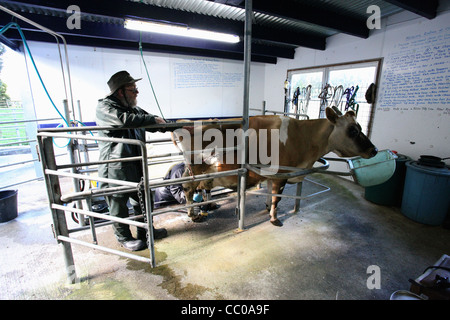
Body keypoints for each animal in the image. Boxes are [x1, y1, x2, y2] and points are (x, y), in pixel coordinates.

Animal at [174, 108, 378, 228]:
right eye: (353, 130)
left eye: (360, 127)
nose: (374, 150)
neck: (304, 137)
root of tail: (184, 124)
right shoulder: (282, 173)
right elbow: (277, 198)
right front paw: (274, 218)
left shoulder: (273, 175)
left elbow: (271, 193)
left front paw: (267, 208)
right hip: (195, 168)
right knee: (188, 188)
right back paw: (193, 215)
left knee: (201, 187)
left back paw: (208, 205)